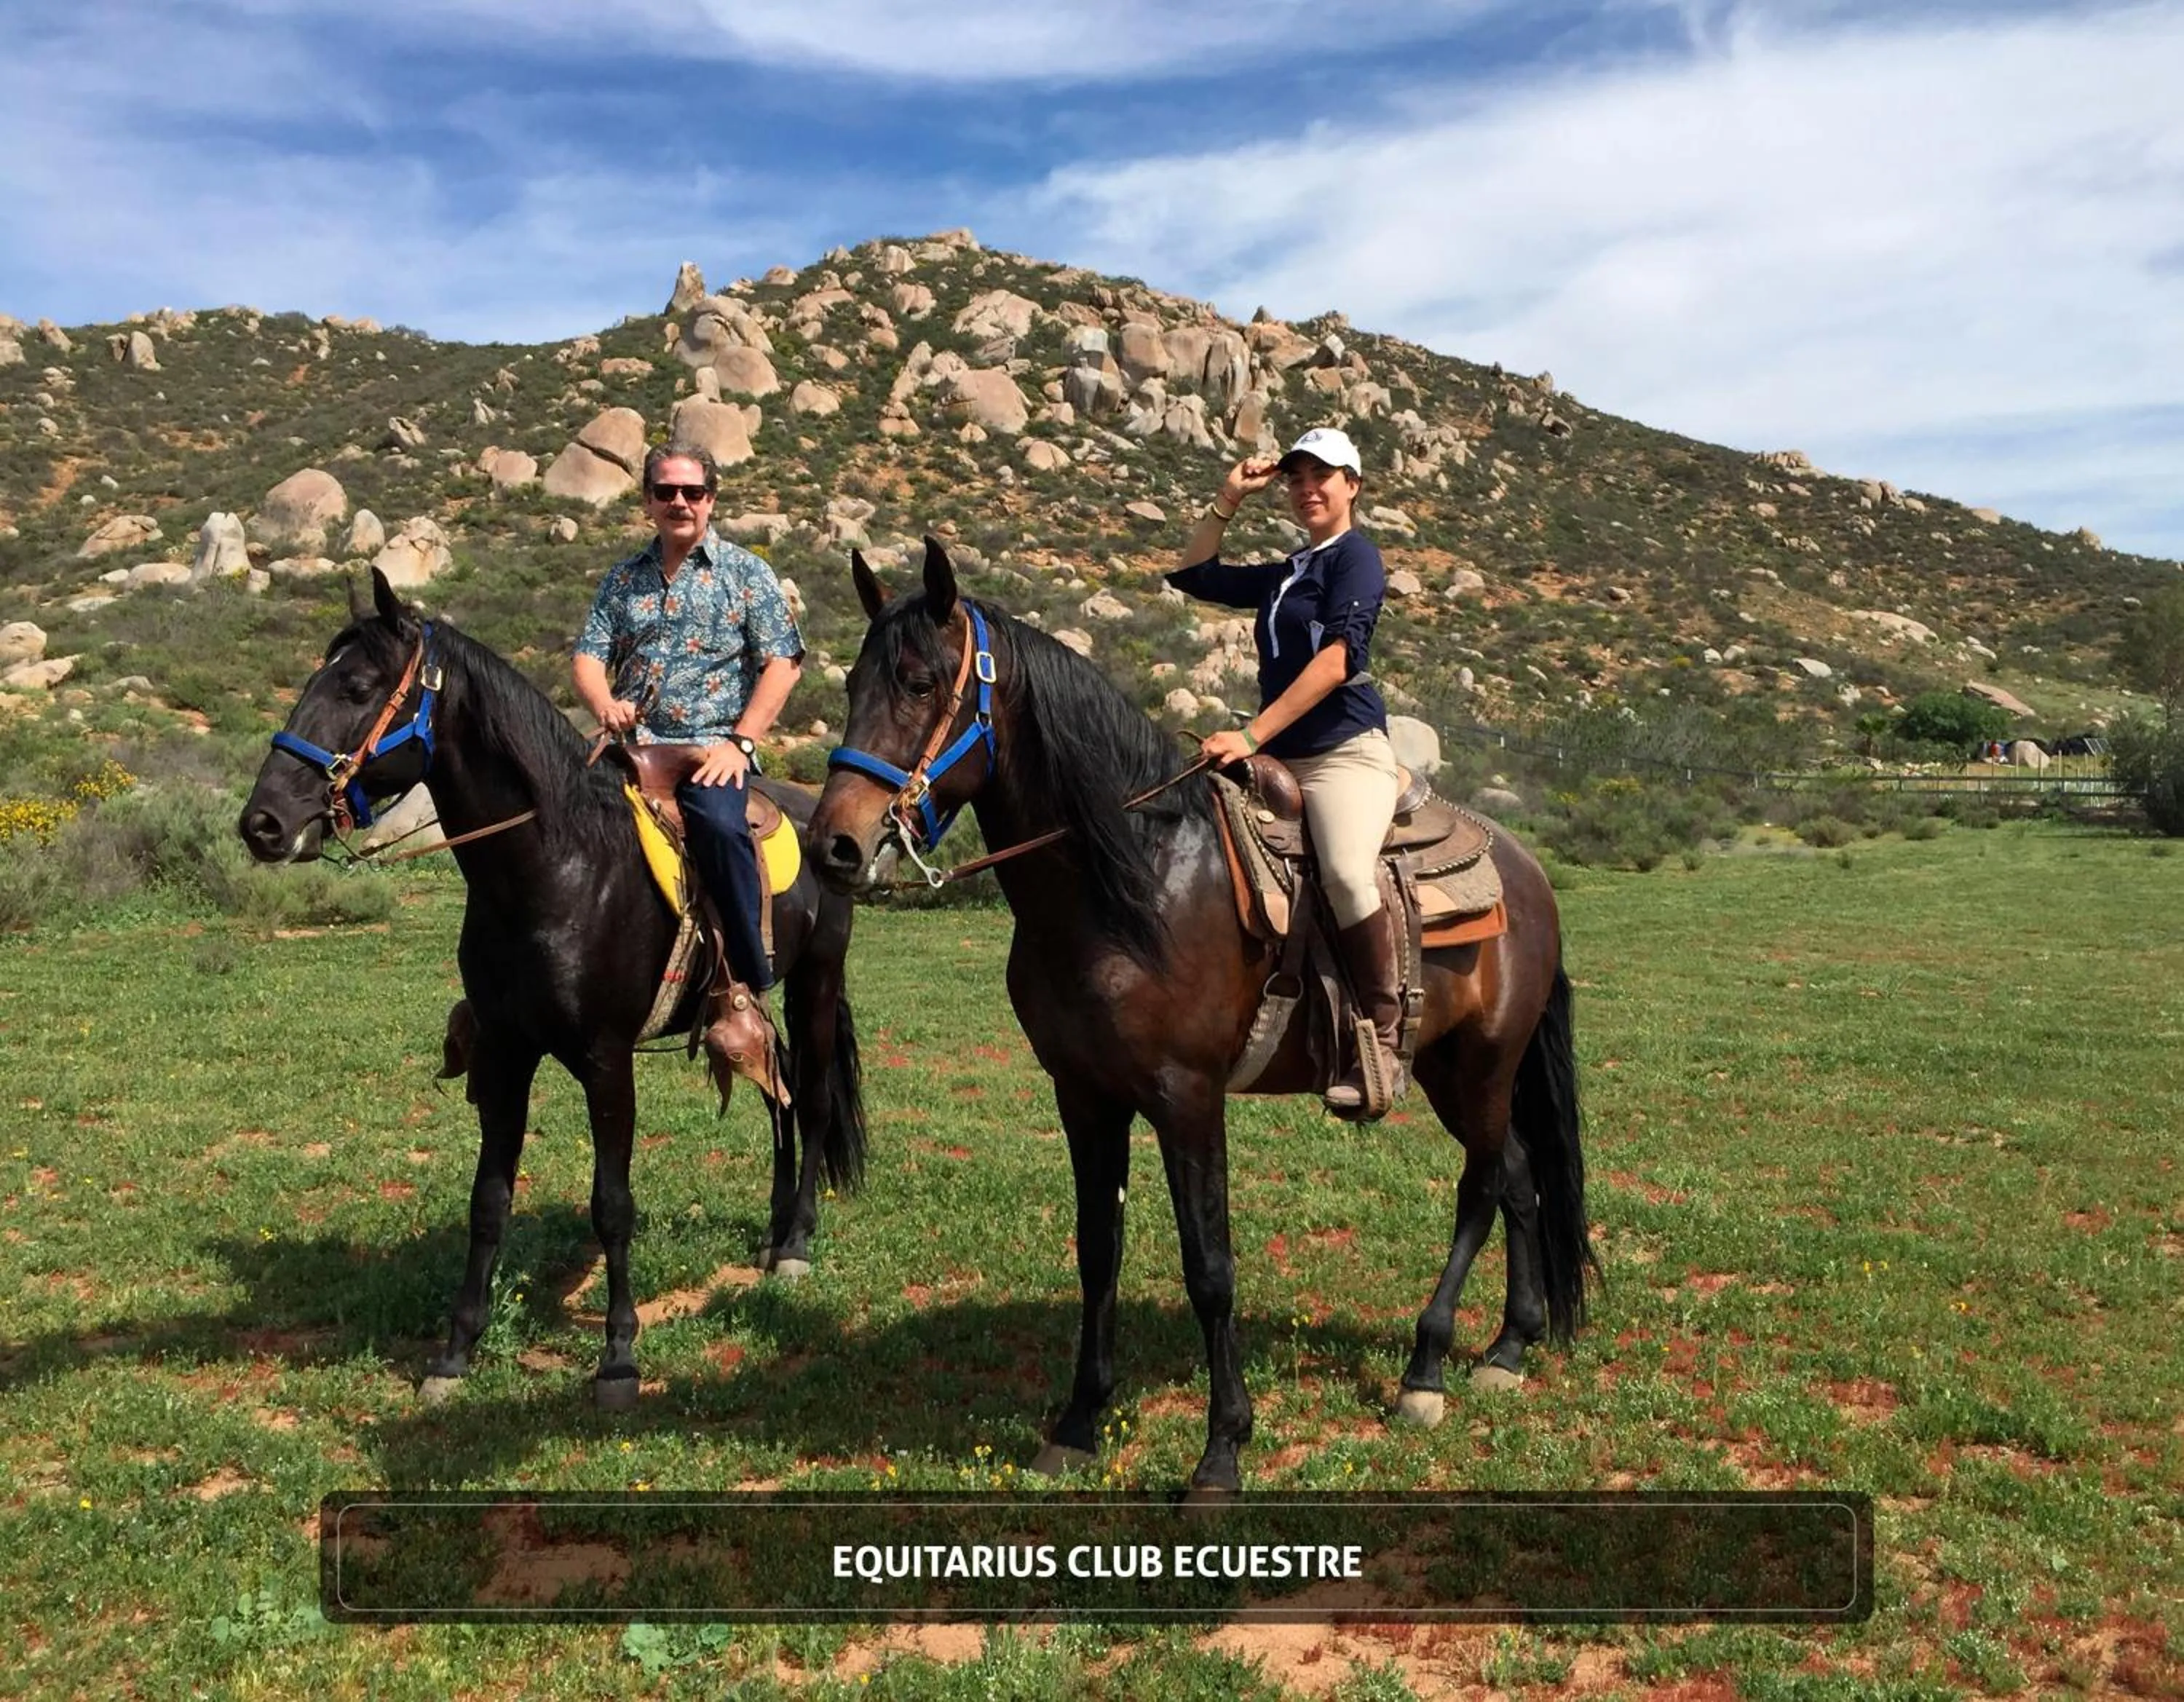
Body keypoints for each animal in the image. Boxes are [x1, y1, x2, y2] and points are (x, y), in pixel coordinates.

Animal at [238, 567, 867, 1409]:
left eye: (359, 687)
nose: (263, 824)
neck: (559, 869)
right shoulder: (506, 1054)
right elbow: (488, 1201)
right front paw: (455, 1351)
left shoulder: (607, 1060)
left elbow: (612, 1204)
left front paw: (618, 1357)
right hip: (752, 1004)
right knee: (779, 1092)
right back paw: (770, 1234)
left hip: (816, 980)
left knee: (816, 1096)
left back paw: (796, 1242)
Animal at [809, 540, 1593, 1494]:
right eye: (851, 681)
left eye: (921, 682)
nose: (834, 844)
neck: (1136, 883)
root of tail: (1529, 873)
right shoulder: (1085, 1095)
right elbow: (1097, 1248)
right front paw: (1078, 1422)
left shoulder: (1188, 1098)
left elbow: (1209, 1266)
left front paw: (1223, 1448)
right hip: (1453, 1072)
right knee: (1518, 1175)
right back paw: (1509, 1346)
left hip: (1483, 1066)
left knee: (1483, 1184)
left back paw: (1426, 1368)